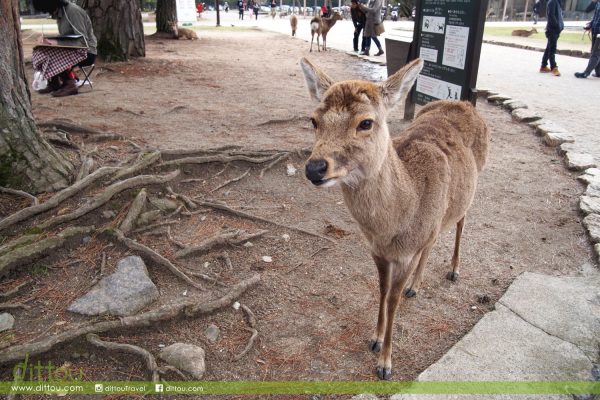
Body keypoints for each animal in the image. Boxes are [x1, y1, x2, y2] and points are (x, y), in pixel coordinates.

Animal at [302, 57, 490, 380]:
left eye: (366, 122)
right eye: (314, 120)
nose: (314, 168)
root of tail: (464, 102)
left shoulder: (404, 255)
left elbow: (392, 299)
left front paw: (385, 363)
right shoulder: (378, 251)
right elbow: (381, 289)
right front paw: (374, 339)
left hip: (473, 185)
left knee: (461, 222)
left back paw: (453, 270)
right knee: (434, 238)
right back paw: (417, 284)